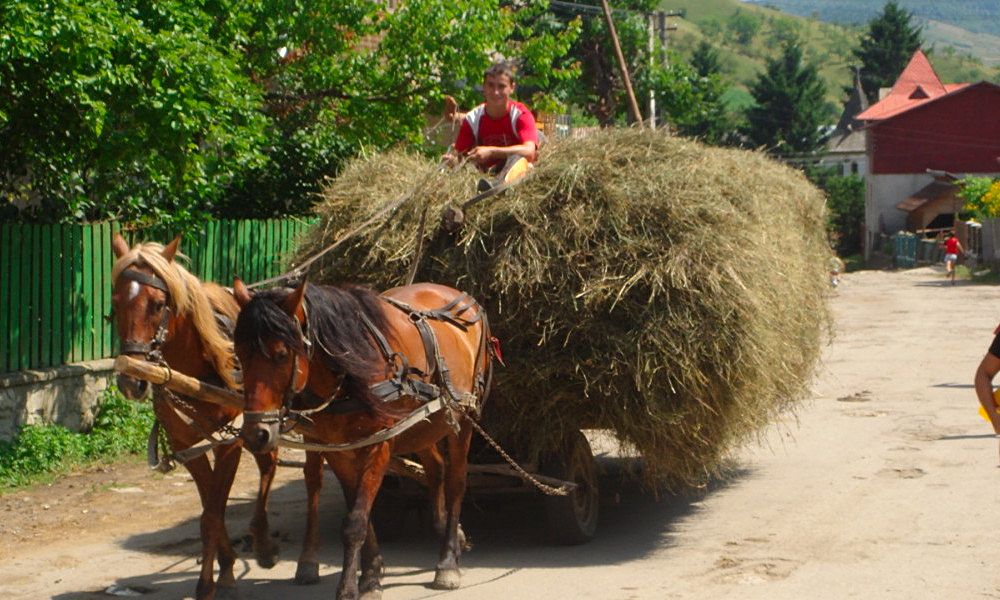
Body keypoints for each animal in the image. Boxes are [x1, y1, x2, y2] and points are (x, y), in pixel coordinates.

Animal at [111, 234, 280, 600]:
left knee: (269, 464)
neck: (197, 370)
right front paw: (226, 566)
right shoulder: (187, 445)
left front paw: (206, 584)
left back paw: (262, 542)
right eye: (115, 301)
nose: (131, 381)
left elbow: (213, 514)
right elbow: (209, 508)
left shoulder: (230, 442)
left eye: (158, 304)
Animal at [230, 278, 488, 600]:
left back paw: (448, 560)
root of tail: (457, 295)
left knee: (456, 482)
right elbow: (358, 508)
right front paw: (372, 572)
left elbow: (355, 520)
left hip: (463, 418)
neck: (348, 371)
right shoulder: (337, 447)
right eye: (240, 353)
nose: (256, 434)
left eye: (281, 355)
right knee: (436, 468)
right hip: (422, 424)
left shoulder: (378, 444)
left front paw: (349, 587)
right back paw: (444, 531)